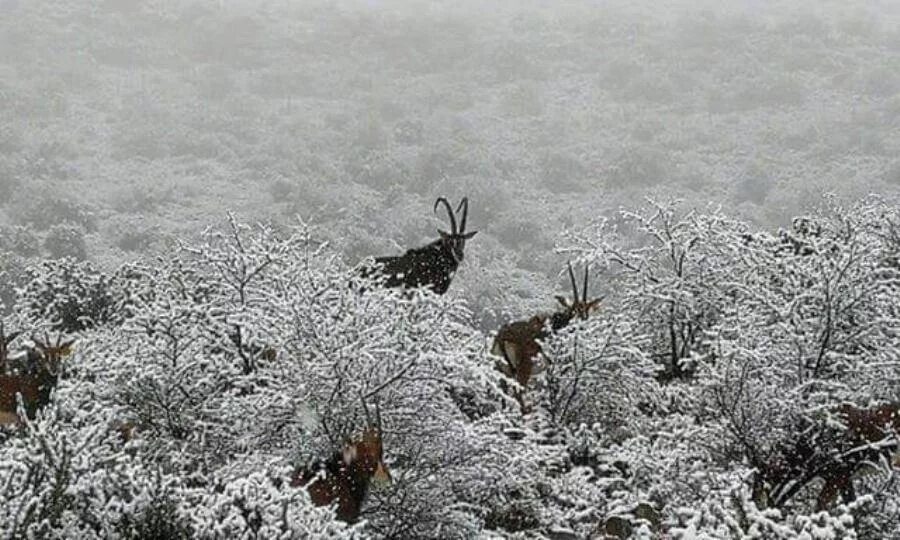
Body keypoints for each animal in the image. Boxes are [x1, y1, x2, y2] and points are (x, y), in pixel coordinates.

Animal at [488, 264, 600, 412]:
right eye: (573, 310)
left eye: (586, 311)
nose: (582, 326)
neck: (557, 325)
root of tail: (502, 336)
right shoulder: (557, 367)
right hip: (524, 369)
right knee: (519, 393)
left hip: (503, 371)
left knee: (503, 394)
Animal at [752, 400, 900, 510]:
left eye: (761, 481)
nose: (754, 503)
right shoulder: (843, 477)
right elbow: (851, 503)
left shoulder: (839, 474)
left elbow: (820, 505)